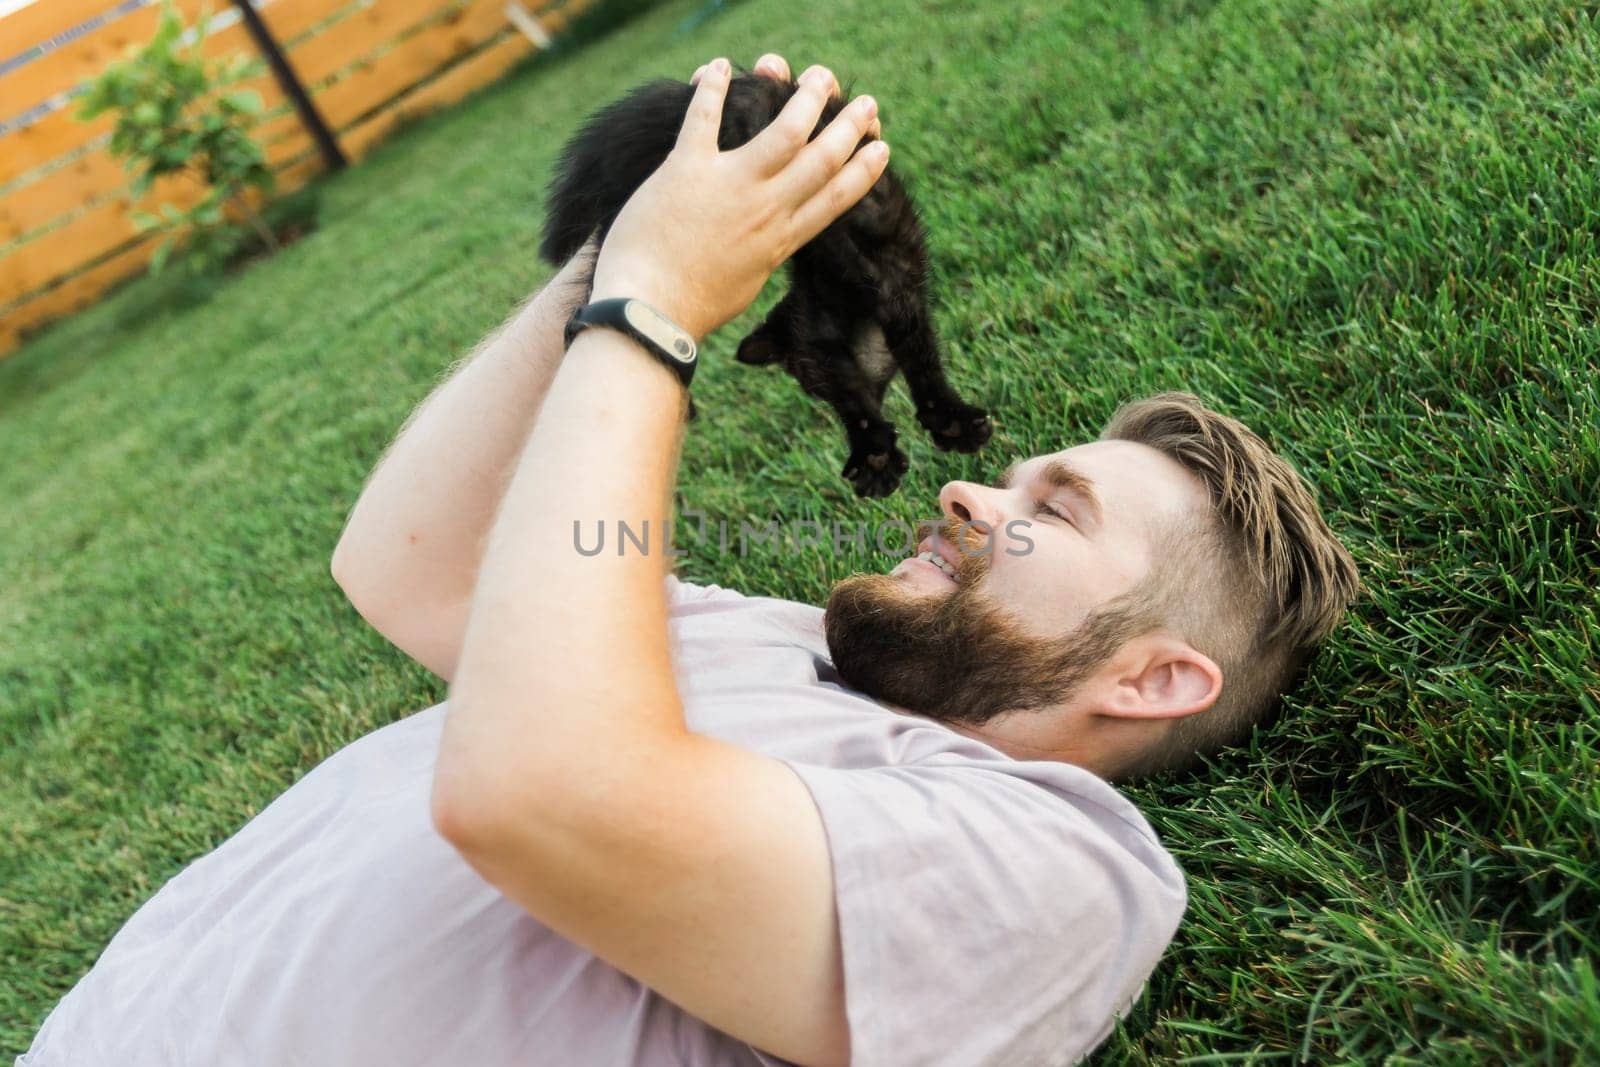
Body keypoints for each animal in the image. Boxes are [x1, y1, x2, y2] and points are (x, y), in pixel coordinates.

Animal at [537, 73, 985, 499]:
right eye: (811, 388)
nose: (814, 394)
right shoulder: (854, 320)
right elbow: (867, 388)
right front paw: (875, 454)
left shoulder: (895, 297)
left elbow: (919, 369)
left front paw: (945, 424)